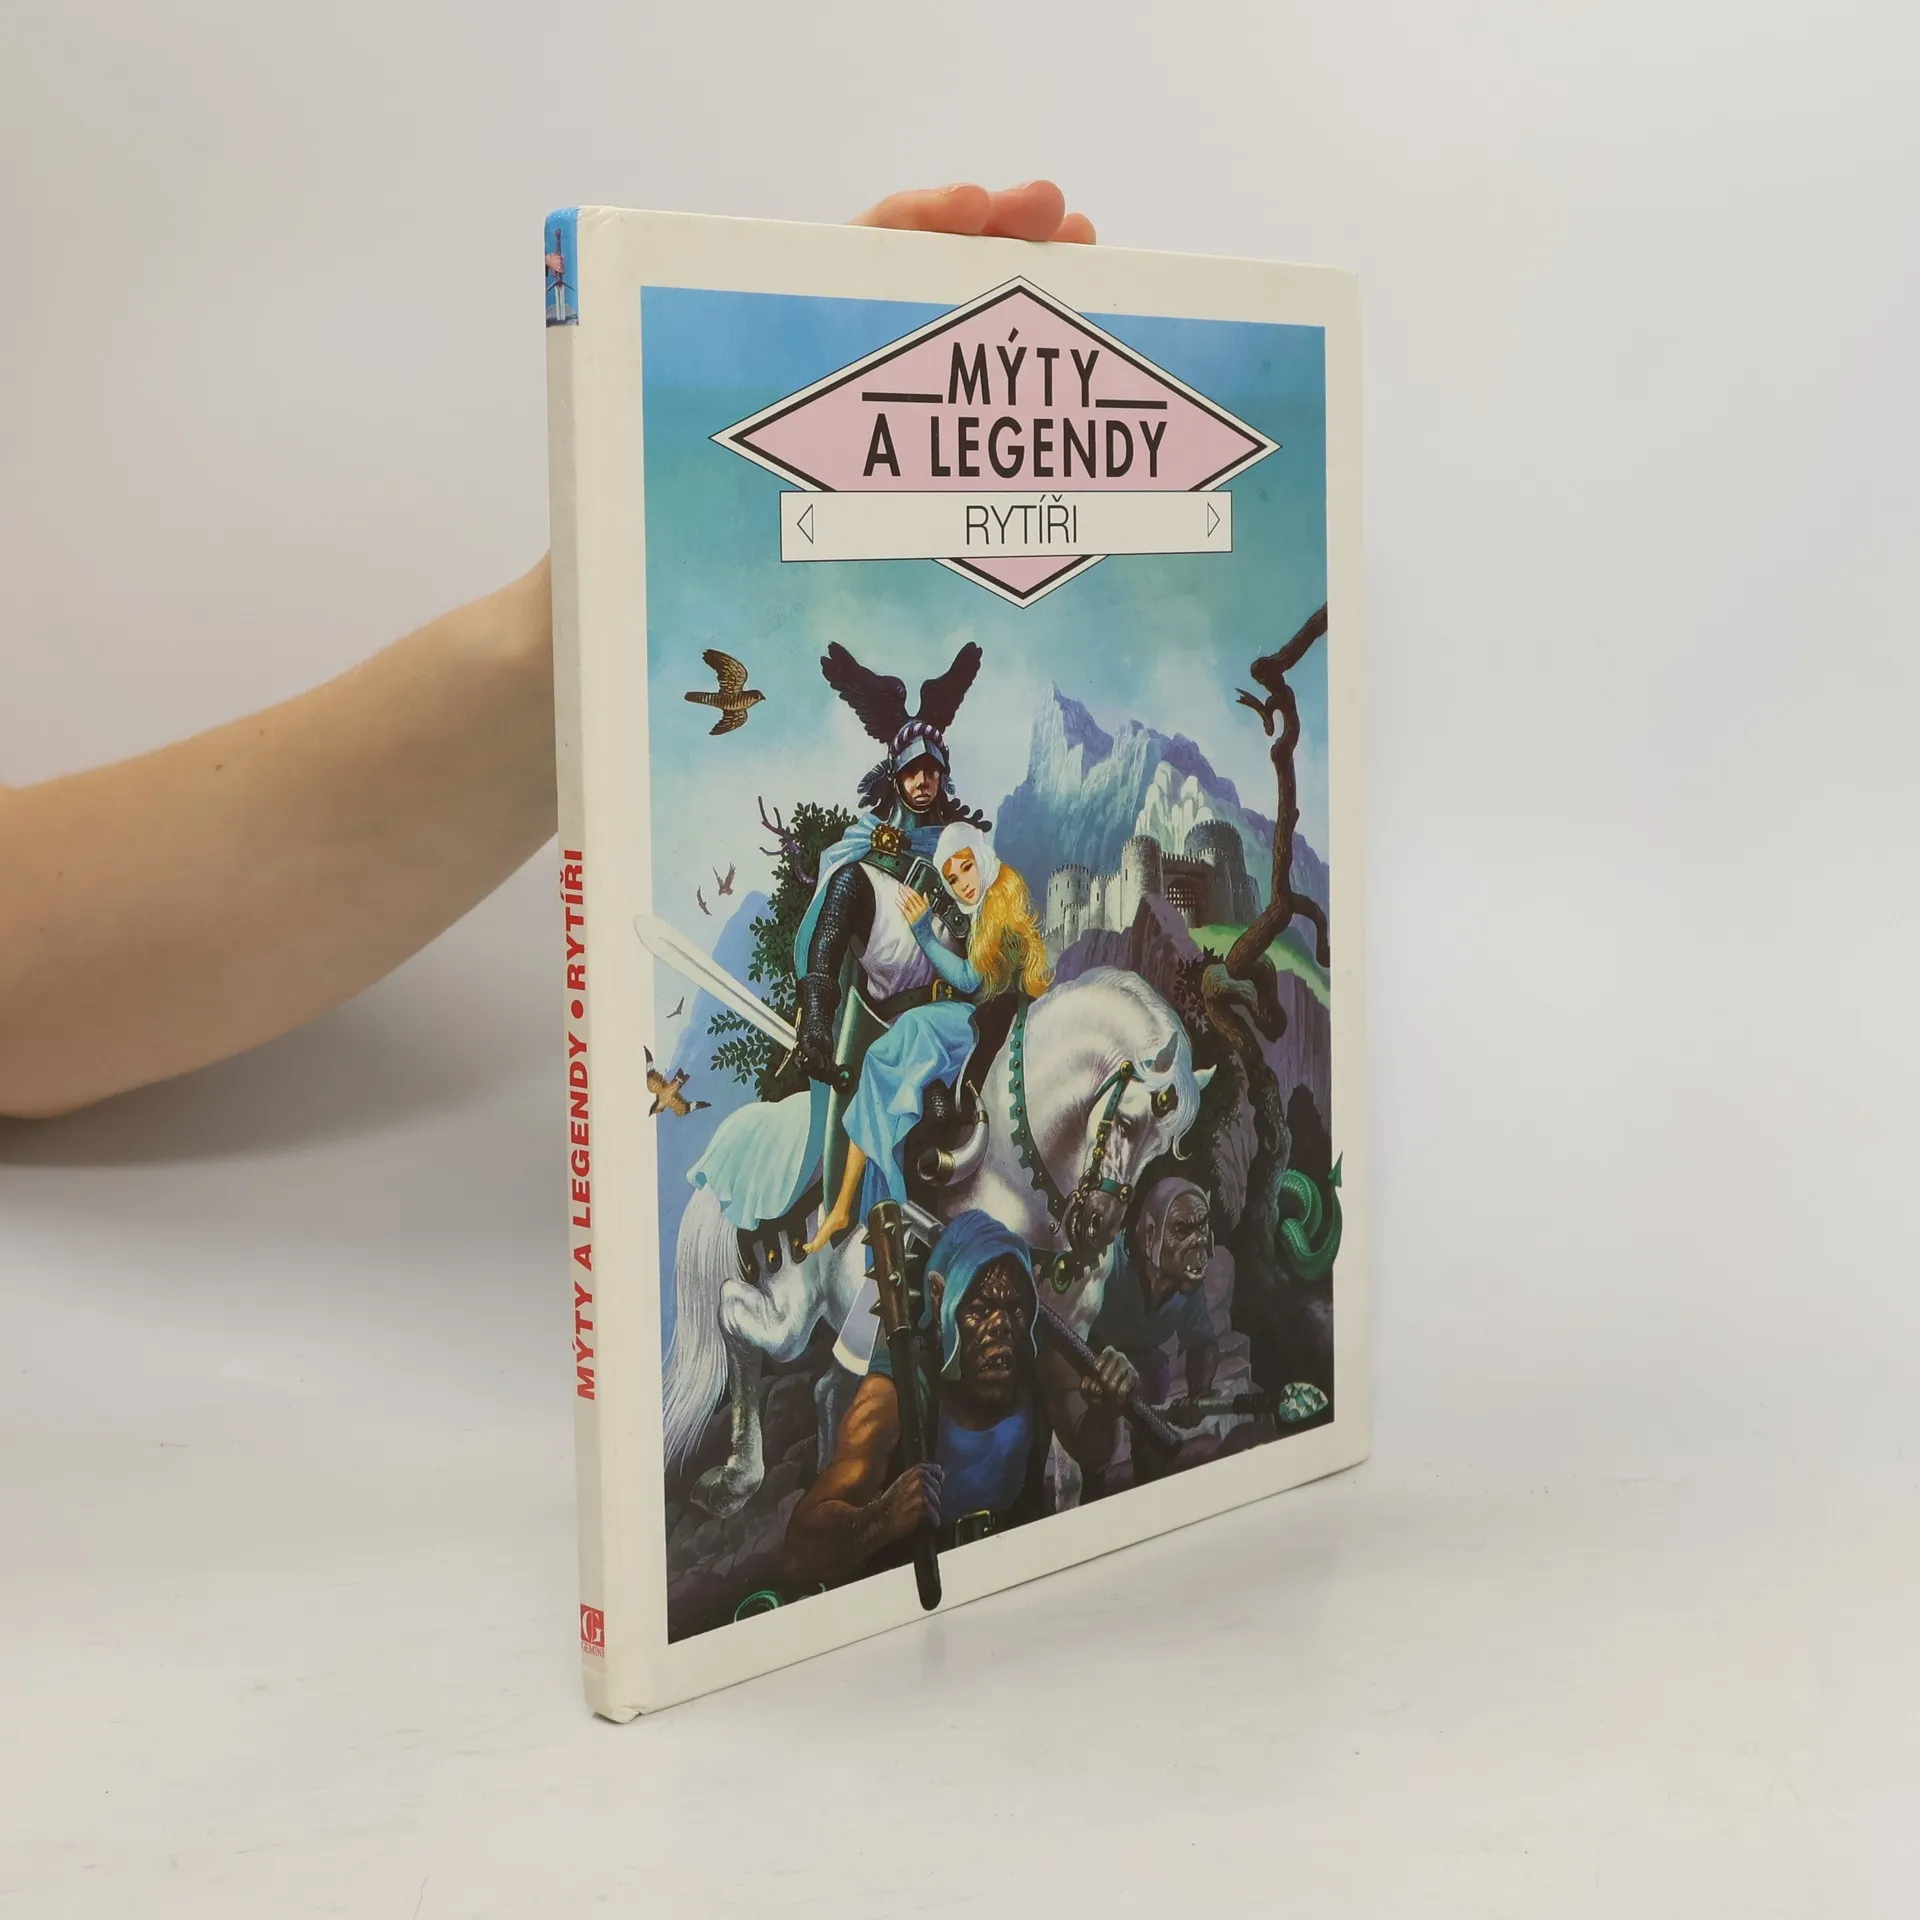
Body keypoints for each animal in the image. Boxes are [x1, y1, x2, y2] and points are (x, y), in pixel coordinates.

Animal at [661, 967, 1213, 1517]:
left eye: (1164, 1146)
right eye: (1126, 1122)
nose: (1099, 1225)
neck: (1016, 1176)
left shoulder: (1067, 1332)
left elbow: (1069, 1468)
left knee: (827, 1388)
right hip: (790, 1311)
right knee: (732, 1311)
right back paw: (738, 1477)